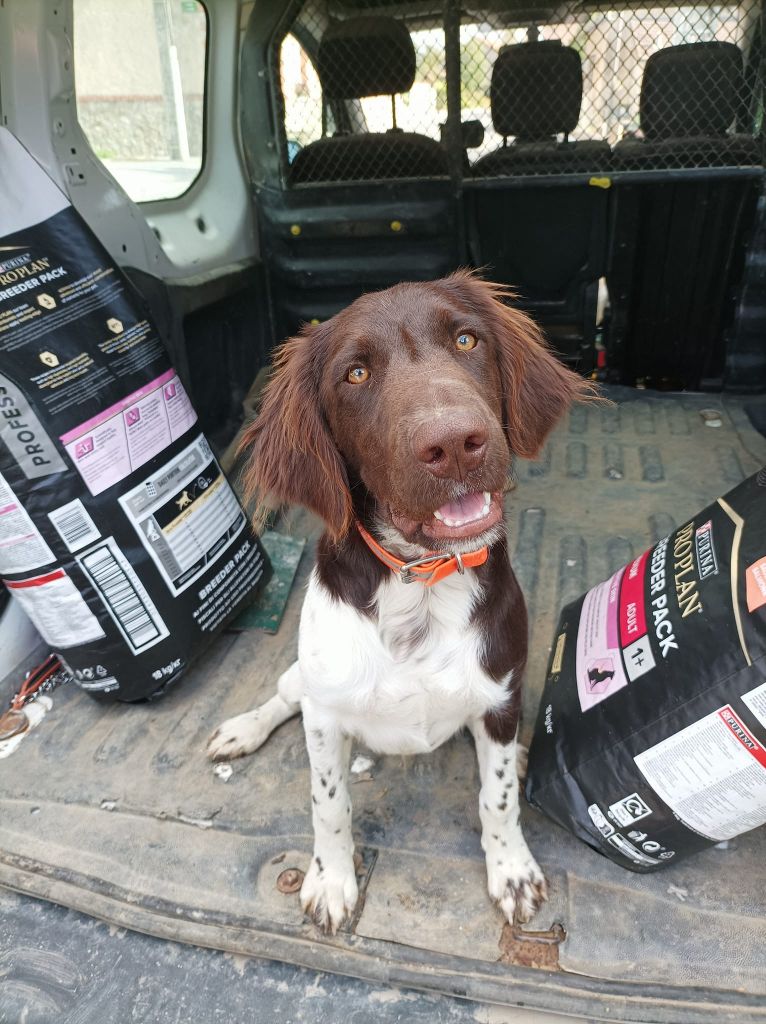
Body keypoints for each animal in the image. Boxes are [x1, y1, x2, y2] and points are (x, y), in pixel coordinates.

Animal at [206, 272, 593, 937]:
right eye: (355, 374)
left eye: (466, 340)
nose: (456, 444)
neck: (422, 581)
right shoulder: (326, 716)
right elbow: (329, 803)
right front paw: (331, 880)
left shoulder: (498, 692)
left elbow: (496, 799)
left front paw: (511, 871)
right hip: (305, 679)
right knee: (284, 697)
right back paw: (243, 729)